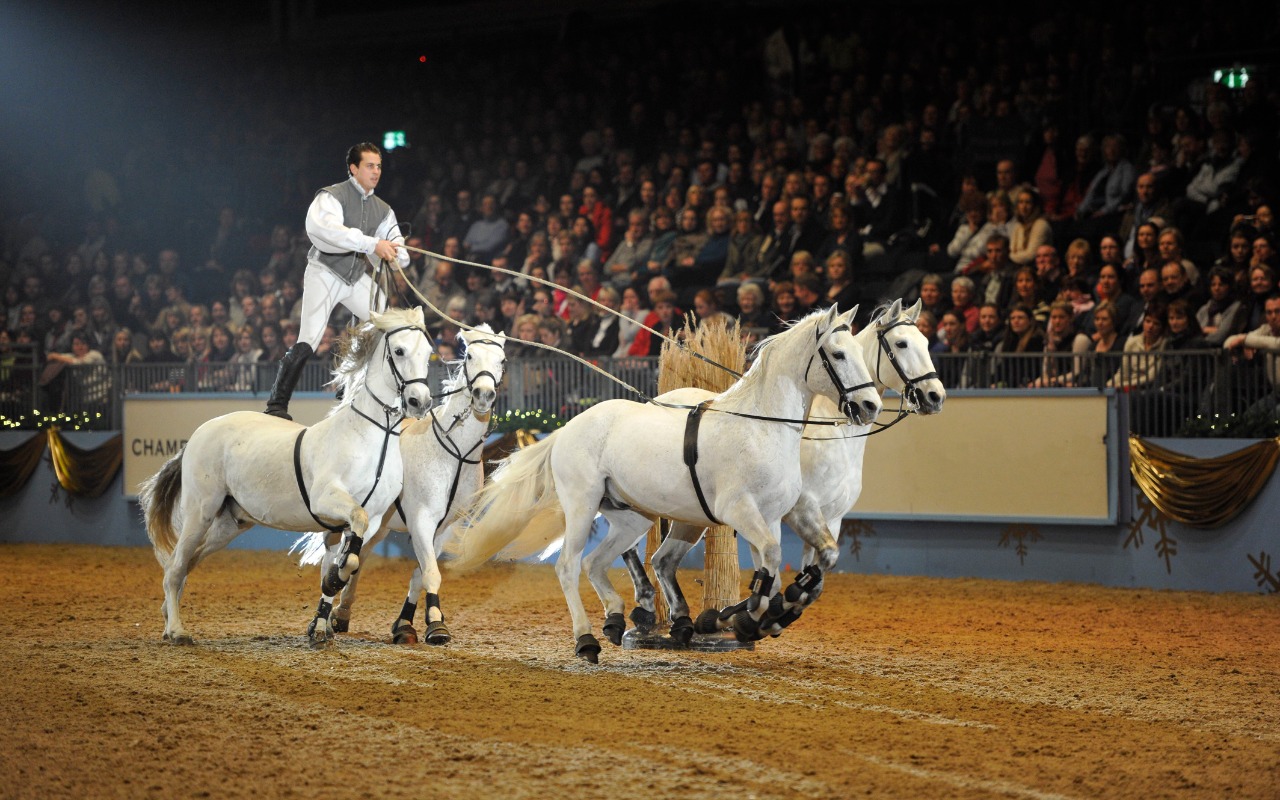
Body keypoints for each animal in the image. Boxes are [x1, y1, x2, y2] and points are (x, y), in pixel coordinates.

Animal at [138, 308, 432, 645]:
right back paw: (177, 630)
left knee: (186, 562)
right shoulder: (328, 501)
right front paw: (332, 587)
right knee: (175, 567)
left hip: (229, 524)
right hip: (200, 512)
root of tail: (198, 434)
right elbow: (348, 553)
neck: (373, 438)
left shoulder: (368, 521)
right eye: (399, 351)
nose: (420, 402)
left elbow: (348, 560)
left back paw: (166, 617)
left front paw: (321, 626)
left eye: (428, 353)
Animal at [293, 325, 506, 642]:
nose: (483, 394)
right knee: (333, 561)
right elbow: (431, 572)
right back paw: (322, 621)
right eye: (470, 355)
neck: (452, 451)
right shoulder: (421, 520)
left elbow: (420, 574)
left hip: (377, 527)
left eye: (502, 360)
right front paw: (436, 626)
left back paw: (341, 614)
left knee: (357, 560)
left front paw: (406, 623)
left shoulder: (445, 527)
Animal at [448, 305, 880, 660]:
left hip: (630, 518)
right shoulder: (739, 511)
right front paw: (739, 618)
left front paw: (758, 616)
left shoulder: (775, 516)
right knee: (570, 566)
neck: (760, 426)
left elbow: (787, 568)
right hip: (582, 506)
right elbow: (771, 564)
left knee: (596, 561)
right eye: (838, 354)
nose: (870, 406)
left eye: (860, 353)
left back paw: (618, 619)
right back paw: (586, 640)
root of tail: (568, 427)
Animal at [632, 296, 947, 640]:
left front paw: (761, 614)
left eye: (926, 343)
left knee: (662, 560)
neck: (831, 433)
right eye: (901, 344)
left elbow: (817, 574)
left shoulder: (830, 518)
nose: (935, 396)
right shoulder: (801, 509)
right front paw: (749, 615)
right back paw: (644, 610)